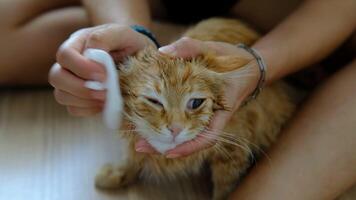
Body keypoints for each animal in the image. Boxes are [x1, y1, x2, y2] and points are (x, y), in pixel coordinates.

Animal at [94, 18, 294, 199]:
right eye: (154, 101)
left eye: (196, 103)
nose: (175, 129)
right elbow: (131, 155)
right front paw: (120, 172)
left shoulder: (234, 151)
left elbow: (225, 188)